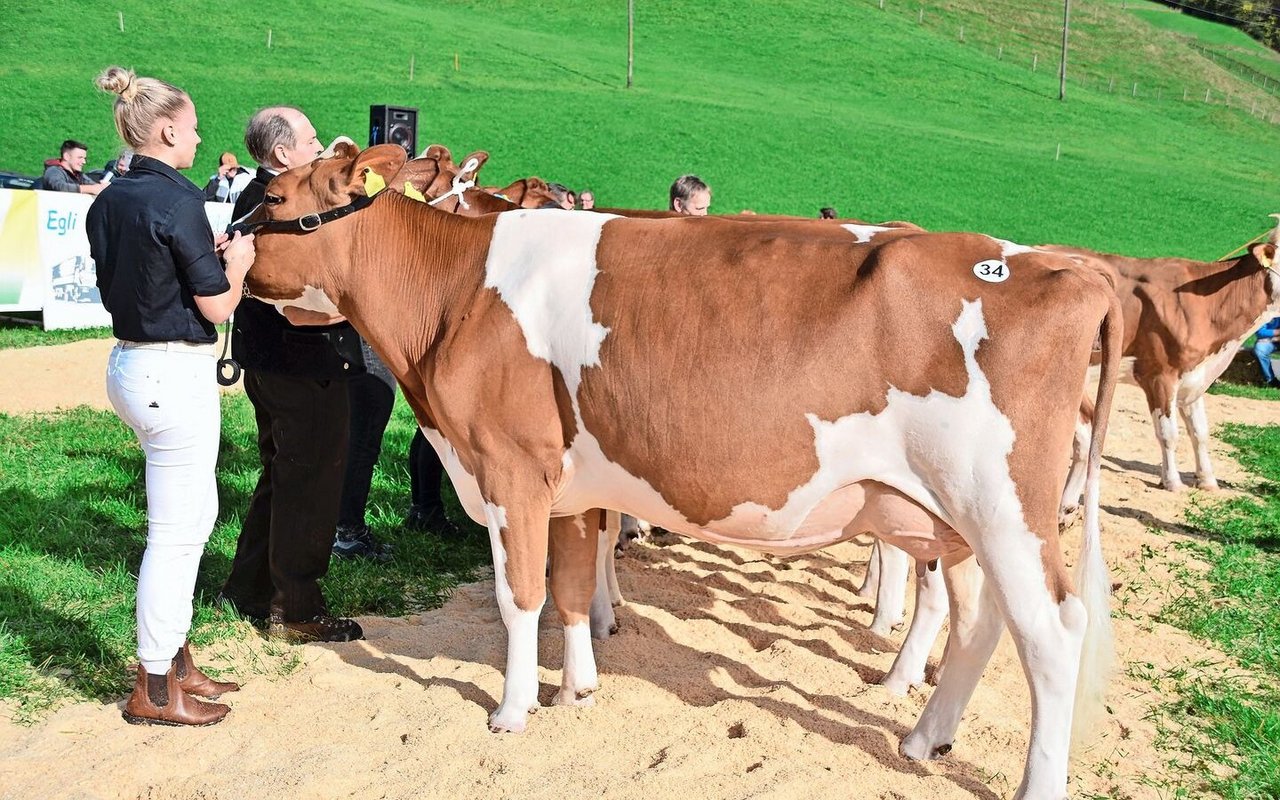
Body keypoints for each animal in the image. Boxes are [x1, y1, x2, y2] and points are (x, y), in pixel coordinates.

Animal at [241, 145, 1121, 798]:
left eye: (273, 195)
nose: (224, 251)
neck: (455, 293)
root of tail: (1060, 266)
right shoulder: (569, 487)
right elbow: (569, 587)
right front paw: (579, 686)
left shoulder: (508, 470)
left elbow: (519, 597)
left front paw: (514, 709)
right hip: (954, 517)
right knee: (976, 622)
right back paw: (923, 737)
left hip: (1002, 508)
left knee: (1051, 635)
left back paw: (1027, 778)